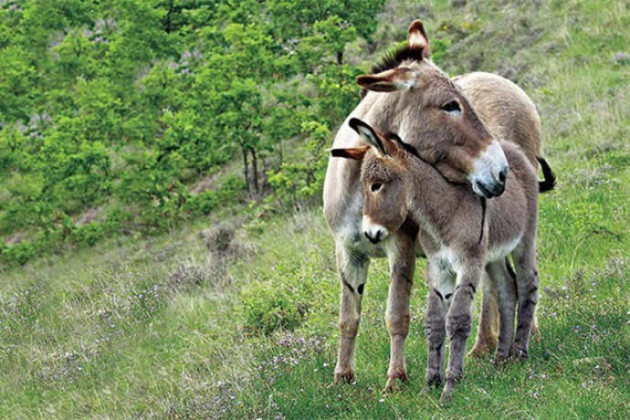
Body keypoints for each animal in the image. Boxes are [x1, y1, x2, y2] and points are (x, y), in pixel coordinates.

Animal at [334, 118, 556, 404]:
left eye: (376, 185)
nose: (369, 234)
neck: (443, 213)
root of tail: (511, 148)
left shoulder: (469, 263)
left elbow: (458, 321)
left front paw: (450, 387)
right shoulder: (439, 267)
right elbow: (435, 323)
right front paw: (430, 384)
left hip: (524, 240)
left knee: (528, 284)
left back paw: (519, 352)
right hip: (493, 255)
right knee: (507, 289)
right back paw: (501, 359)